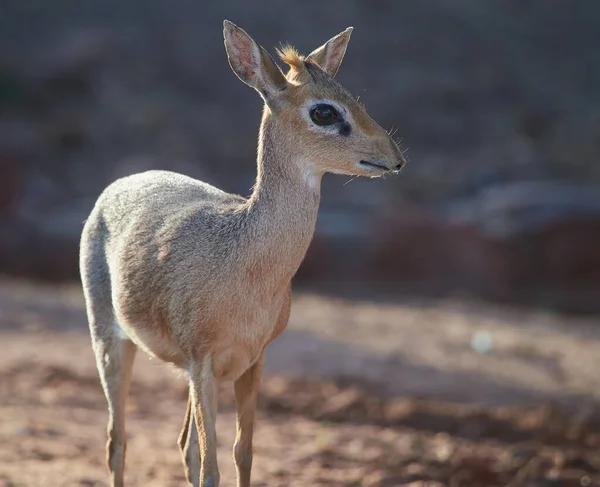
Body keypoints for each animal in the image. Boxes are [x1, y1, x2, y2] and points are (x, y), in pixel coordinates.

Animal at [79, 21, 406, 487]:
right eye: (324, 112)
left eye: (354, 98)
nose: (394, 158)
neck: (244, 261)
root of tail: (120, 184)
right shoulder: (203, 360)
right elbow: (211, 466)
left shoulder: (251, 360)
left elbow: (242, 453)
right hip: (111, 341)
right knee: (116, 441)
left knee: (182, 445)